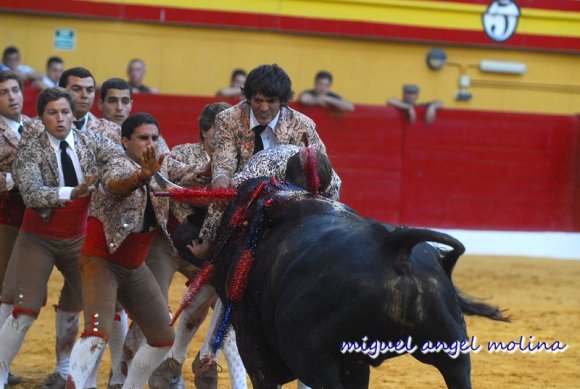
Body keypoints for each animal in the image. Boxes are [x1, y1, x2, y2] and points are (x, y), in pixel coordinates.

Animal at [177, 177, 508, 386]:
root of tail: (393, 246)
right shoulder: (355, 364)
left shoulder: (259, 351)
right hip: (452, 350)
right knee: (457, 371)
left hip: (315, 360)